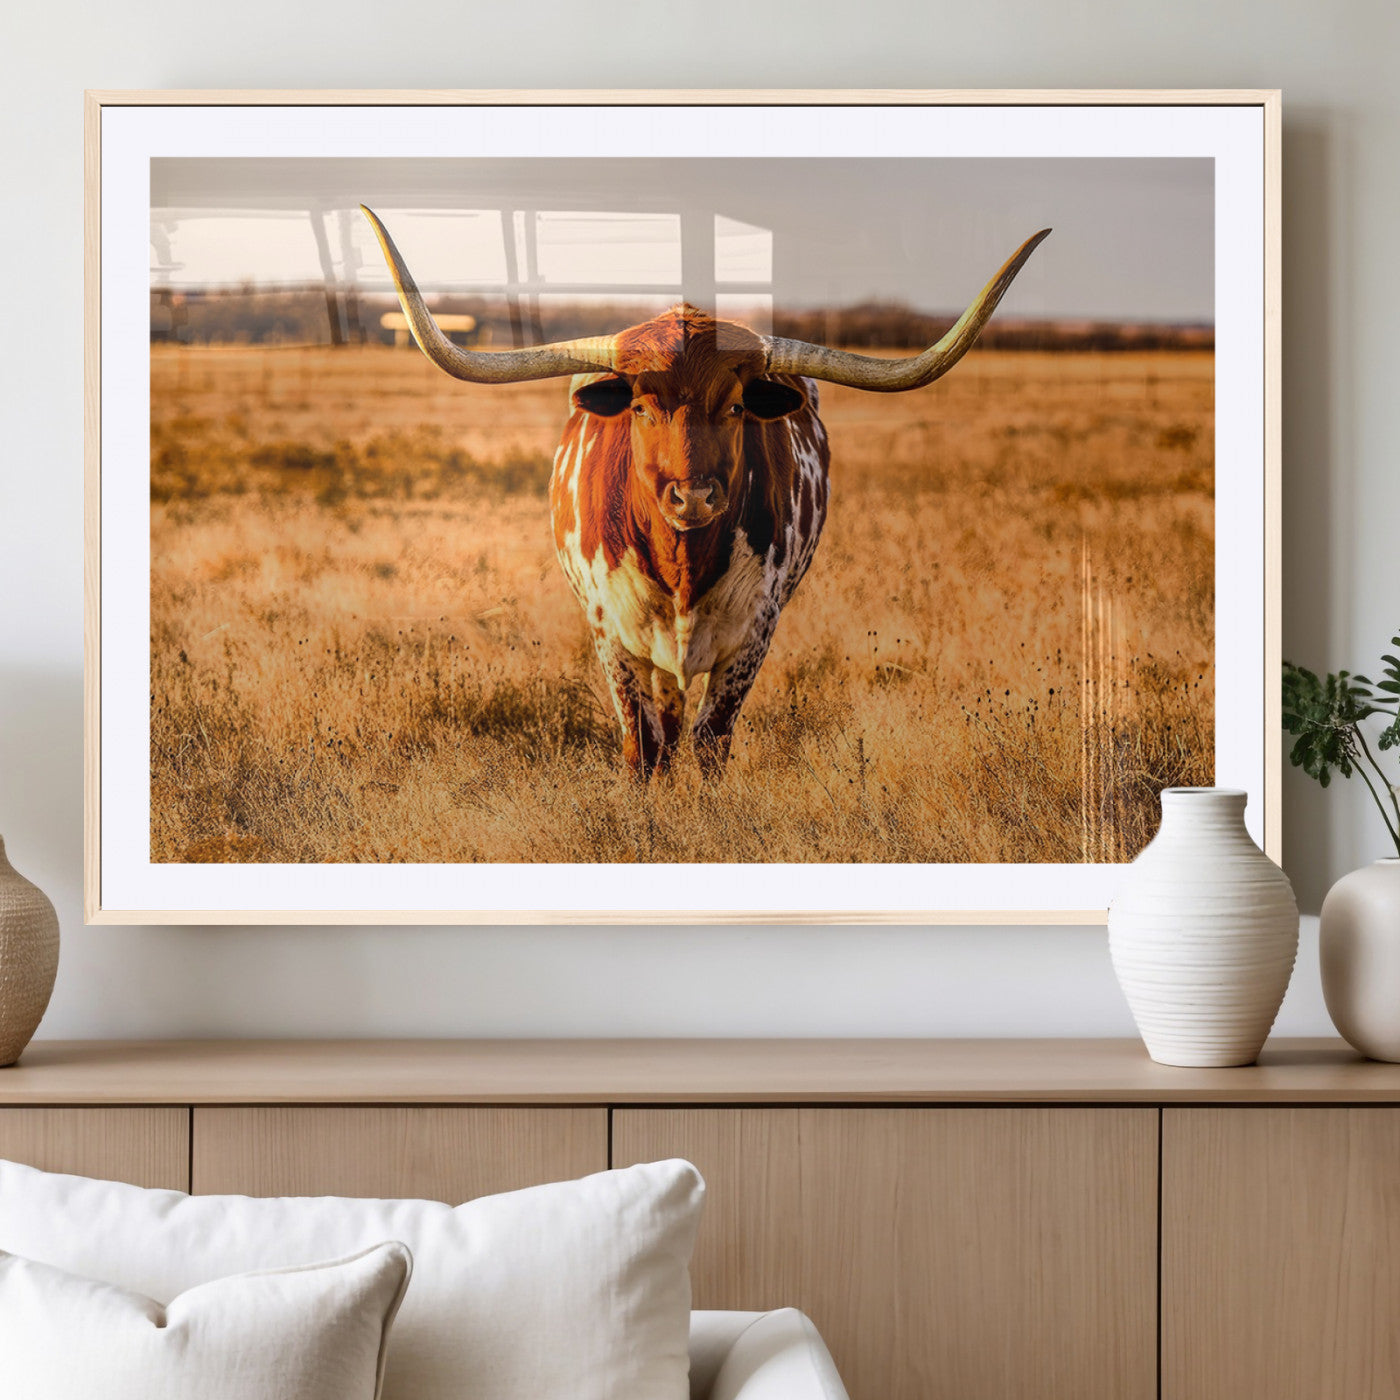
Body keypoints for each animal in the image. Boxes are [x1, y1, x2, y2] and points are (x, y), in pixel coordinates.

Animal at [362, 206, 1048, 780]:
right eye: (640, 407)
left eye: (738, 406)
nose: (692, 498)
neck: (684, 564)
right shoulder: (613, 637)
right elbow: (643, 746)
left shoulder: (752, 635)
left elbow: (712, 741)